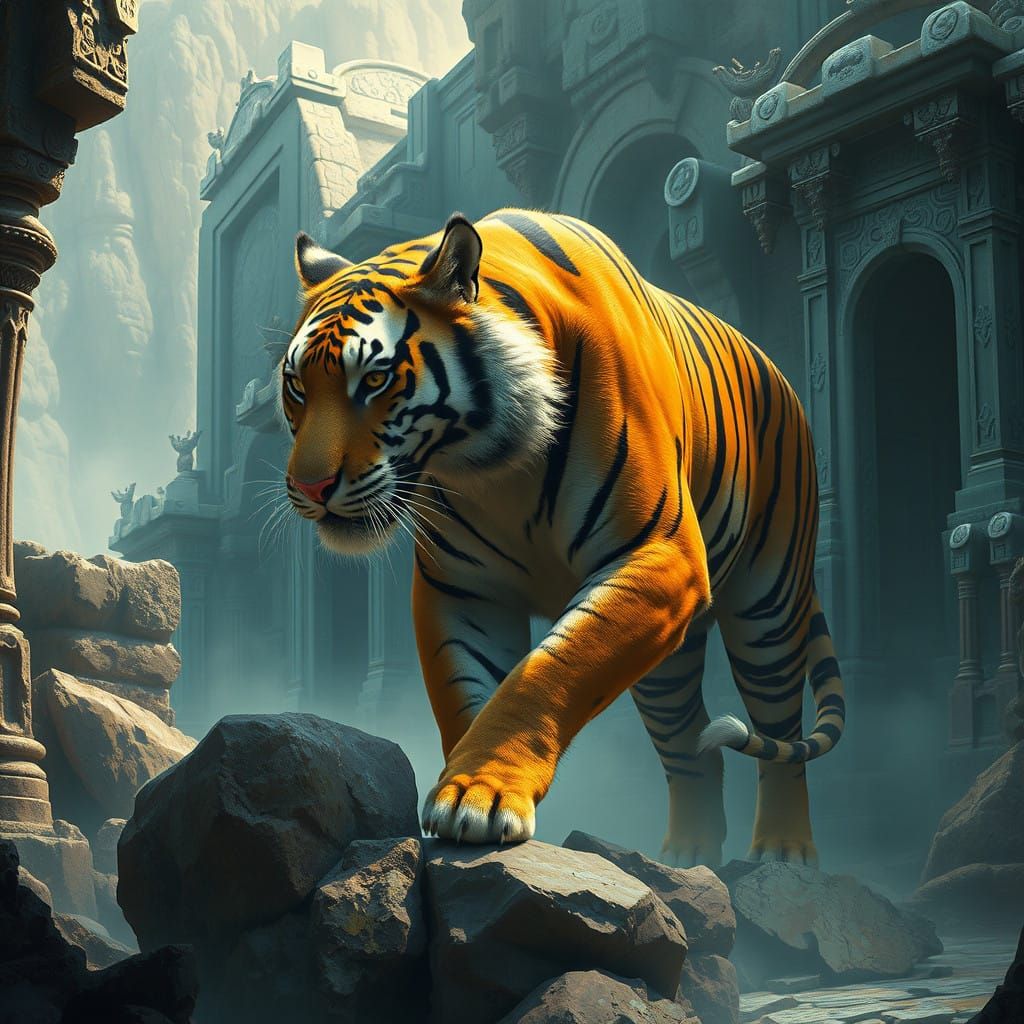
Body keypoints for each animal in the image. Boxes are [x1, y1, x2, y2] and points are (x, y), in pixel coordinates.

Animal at [281, 208, 846, 867]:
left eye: (374, 380)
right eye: (297, 386)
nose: (309, 486)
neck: (493, 463)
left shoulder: (661, 557)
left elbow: (549, 673)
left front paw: (479, 795)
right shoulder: (463, 590)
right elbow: (471, 694)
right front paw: (466, 789)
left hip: (768, 606)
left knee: (779, 732)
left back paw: (783, 853)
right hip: (668, 671)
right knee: (689, 748)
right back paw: (686, 857)